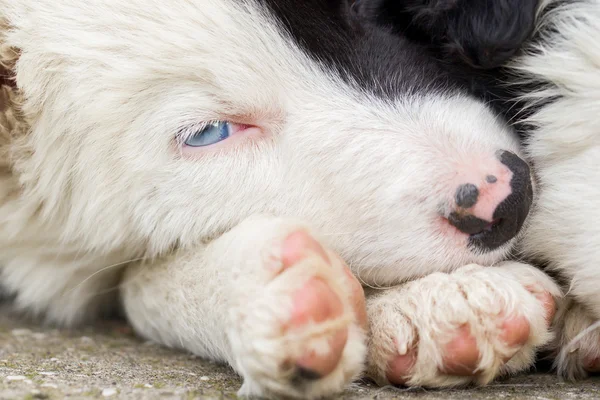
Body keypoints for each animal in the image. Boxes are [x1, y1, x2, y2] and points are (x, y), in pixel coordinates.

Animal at [1, 0, 564, 396]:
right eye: (209, 132)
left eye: (360, 4)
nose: (507, 198)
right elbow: (134, 282)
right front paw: (271, 295)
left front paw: (443, 299)